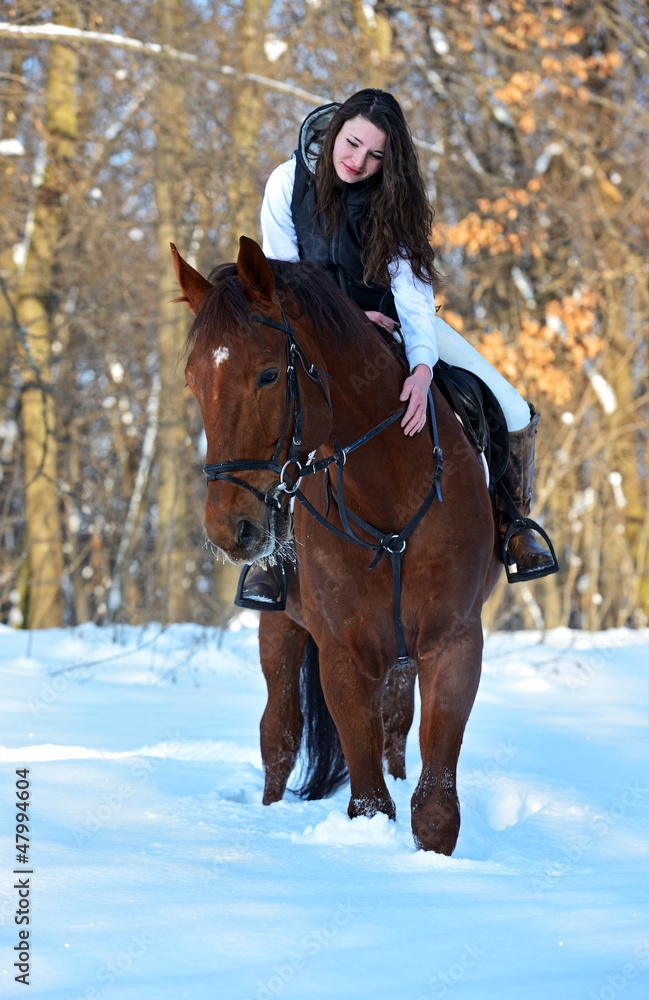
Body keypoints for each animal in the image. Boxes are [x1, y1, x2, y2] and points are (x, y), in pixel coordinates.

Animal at [173, 236, 502, 854]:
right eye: (193, 380)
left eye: (269, 374)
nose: (229, 528)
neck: (386, 494)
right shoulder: (343, 656)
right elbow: (369, 802)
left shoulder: (452, 642)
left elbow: (434, 809)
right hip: (279, 623)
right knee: (278, 735)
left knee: (392, 730)